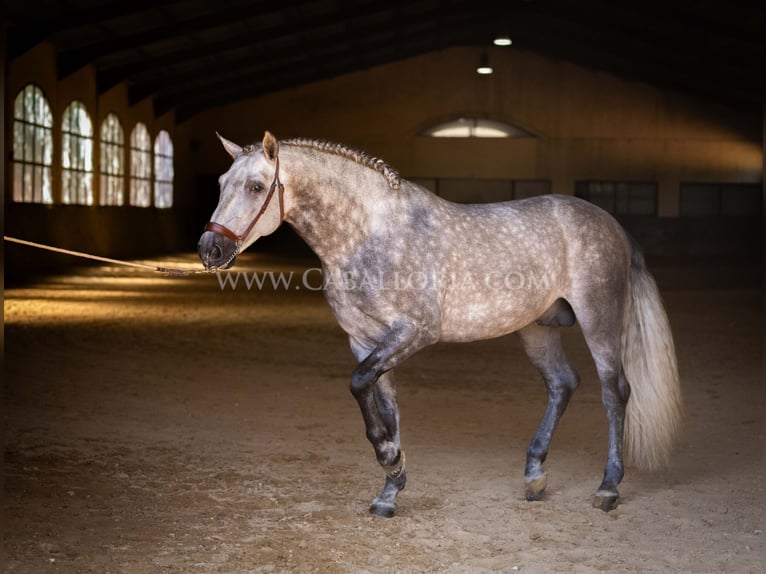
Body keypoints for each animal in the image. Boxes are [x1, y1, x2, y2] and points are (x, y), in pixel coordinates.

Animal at [198, 133, 684, 520]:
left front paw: (389, 458)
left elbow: (359, 385)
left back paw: (608, 487)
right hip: (537, 327)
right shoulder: (365, 341)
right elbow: (383, 406)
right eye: (221, 184)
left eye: (256, 186)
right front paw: (391, 486)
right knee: (563, 384)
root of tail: (612, 224)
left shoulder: (413, 332)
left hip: (599, 318)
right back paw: (534, 476)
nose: (210, 249)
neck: (370, 234)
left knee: (614, 392)